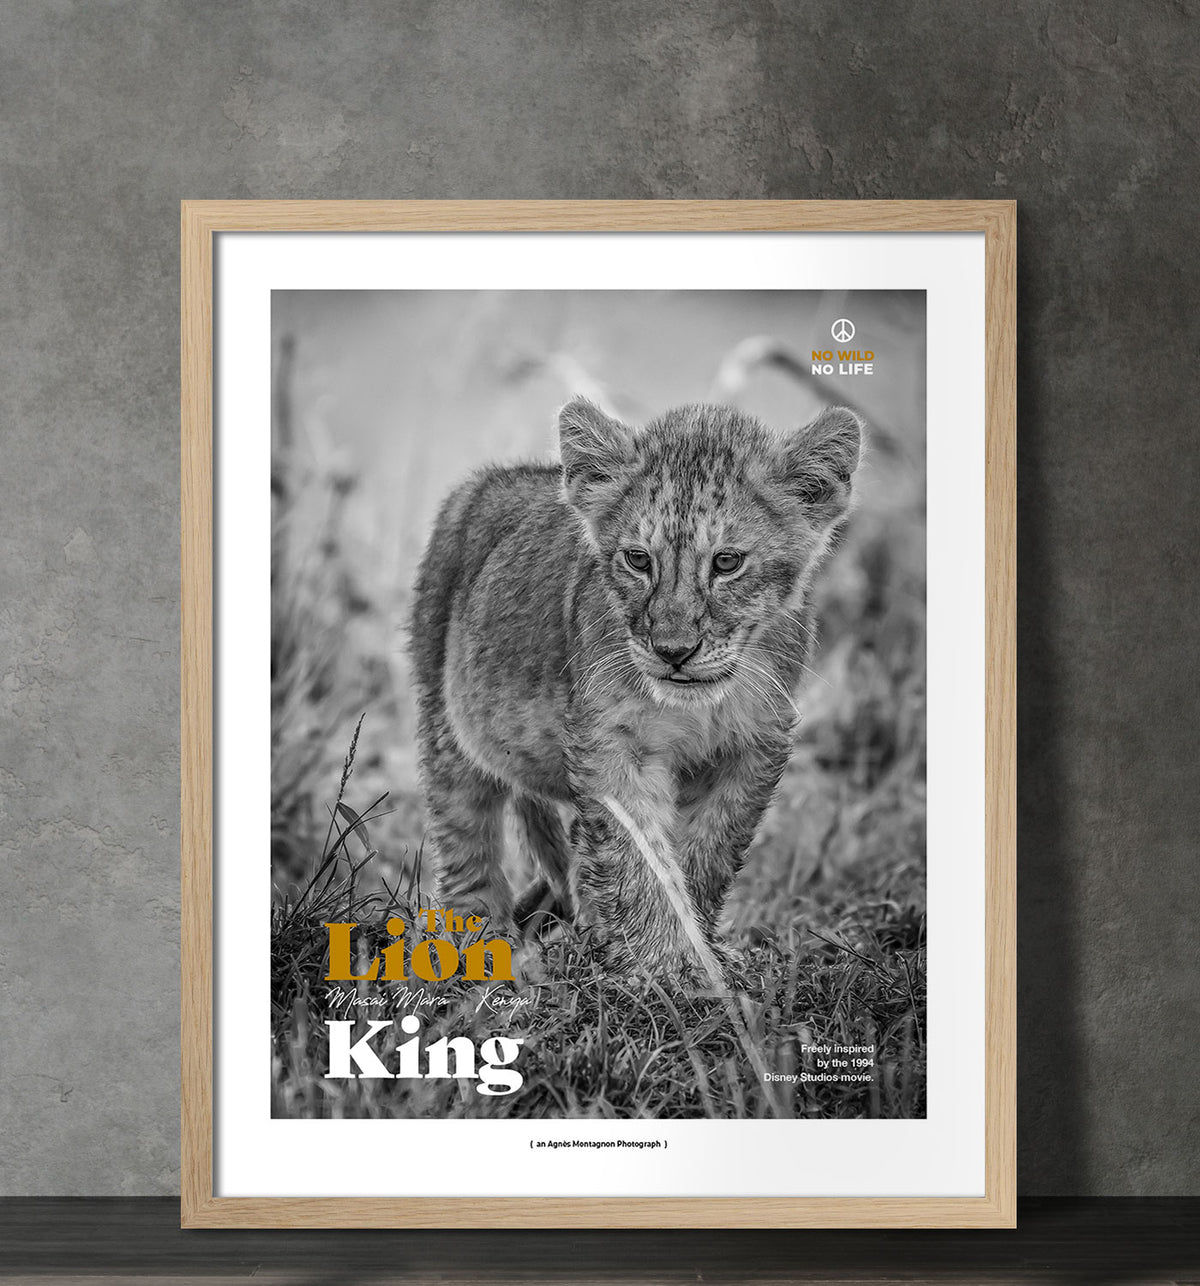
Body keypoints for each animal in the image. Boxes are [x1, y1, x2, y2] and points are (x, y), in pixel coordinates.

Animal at [410, 397, 862, 974]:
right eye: (638, 559)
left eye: (727, 562)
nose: (673, 651)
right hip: (445, 719)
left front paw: (696, 951)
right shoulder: (610, 741)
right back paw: (478, 941)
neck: (697, 706)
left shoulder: (753, 746)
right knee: (467, 835)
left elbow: (705, 853)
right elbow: (639, 857)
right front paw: (661, 964)